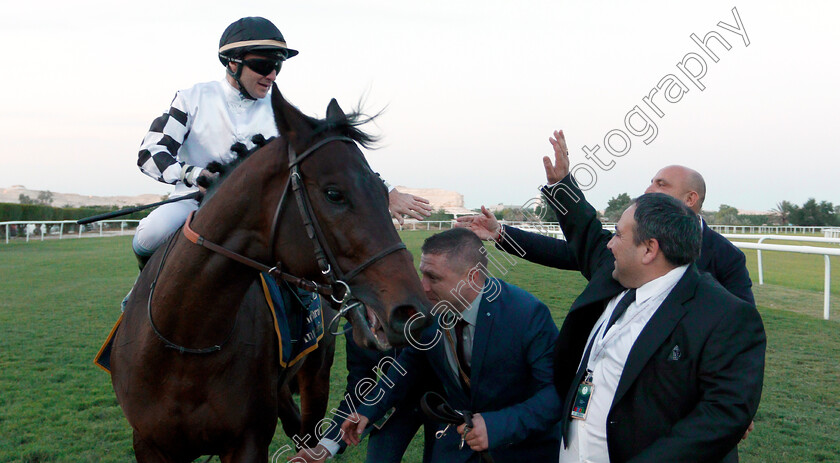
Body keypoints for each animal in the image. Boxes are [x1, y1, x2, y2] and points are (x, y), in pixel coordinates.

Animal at [108, 85, 430, 462]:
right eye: (334, 193)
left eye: (382, 191)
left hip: (315, 374)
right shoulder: (149, 444)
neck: (185, 343)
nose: (412, 312)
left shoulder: (248, 441)